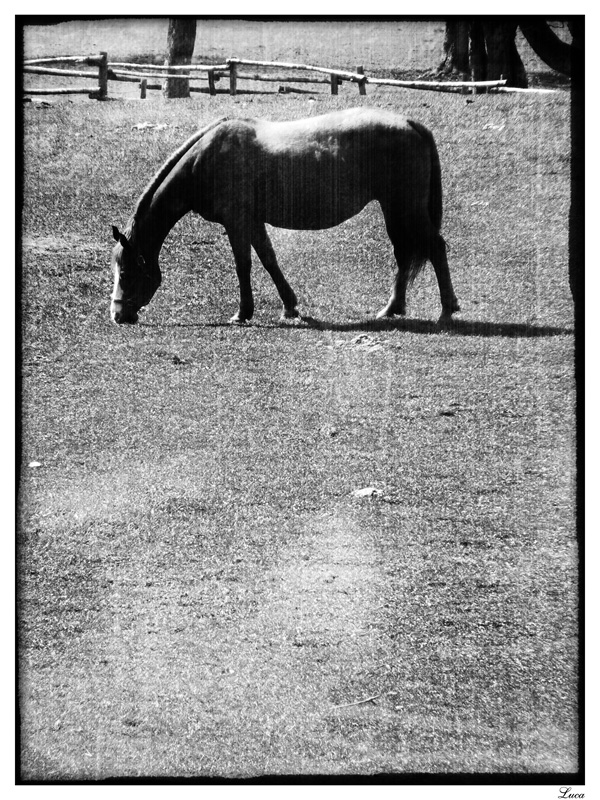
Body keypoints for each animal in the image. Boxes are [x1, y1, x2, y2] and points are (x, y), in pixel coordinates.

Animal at [110, 107, 460, 325]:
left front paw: (243, 313)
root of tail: (410, 123)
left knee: (435, 248)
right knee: (404, 255)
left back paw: (446, 310)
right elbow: (269, 260)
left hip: (406, 209)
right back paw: (391, 308)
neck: (206, 160)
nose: (117, 315)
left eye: (125, 273)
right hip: (395, 210)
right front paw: (289, 306)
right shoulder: (252, 222)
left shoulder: (237, 222)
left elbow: (244, 266)